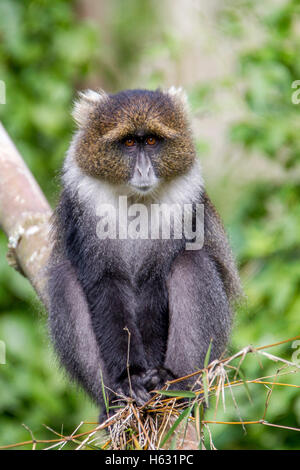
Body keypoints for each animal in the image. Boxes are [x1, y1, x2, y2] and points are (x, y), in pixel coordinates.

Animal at [48, 86, 243, 420]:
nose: (143, 169)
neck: (134, 199)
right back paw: (113, 401)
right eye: (129, 143)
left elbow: (156, 282)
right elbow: (105, 285)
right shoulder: (85, 204)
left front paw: (153, 377)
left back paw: (176, 387)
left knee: (191, 263)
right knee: (64, 280)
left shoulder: (182, 204)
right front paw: (131, 378)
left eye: (151, 141)